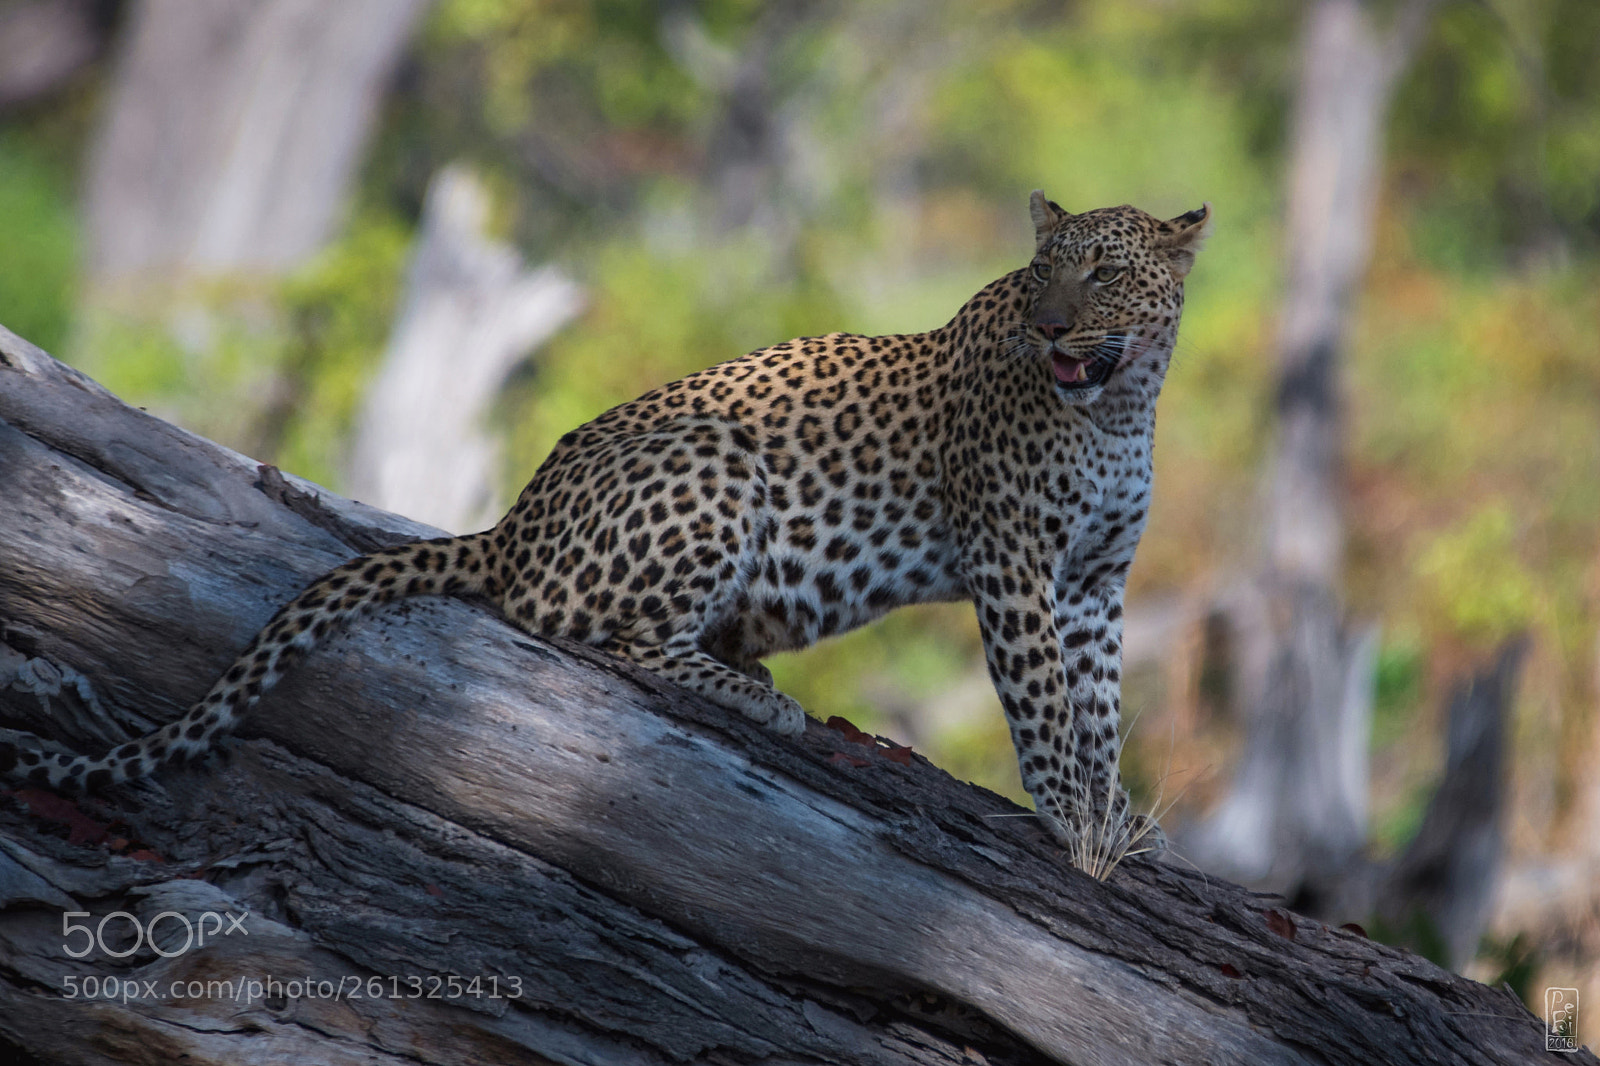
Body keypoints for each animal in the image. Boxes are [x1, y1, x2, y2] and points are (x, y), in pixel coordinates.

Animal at [1, 191, 1210, 874]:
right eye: (1043, 272)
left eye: (1102, 271)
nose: (1050, 326)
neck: (1122, 401)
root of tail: (512, 525)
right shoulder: (1012, 559)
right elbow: (1044, 702)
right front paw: (1072, 831)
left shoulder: (1095, 582)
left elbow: (1102, 705)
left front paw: (1112, 821)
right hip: (714, 460)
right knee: (602, 634)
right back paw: (755, 699)